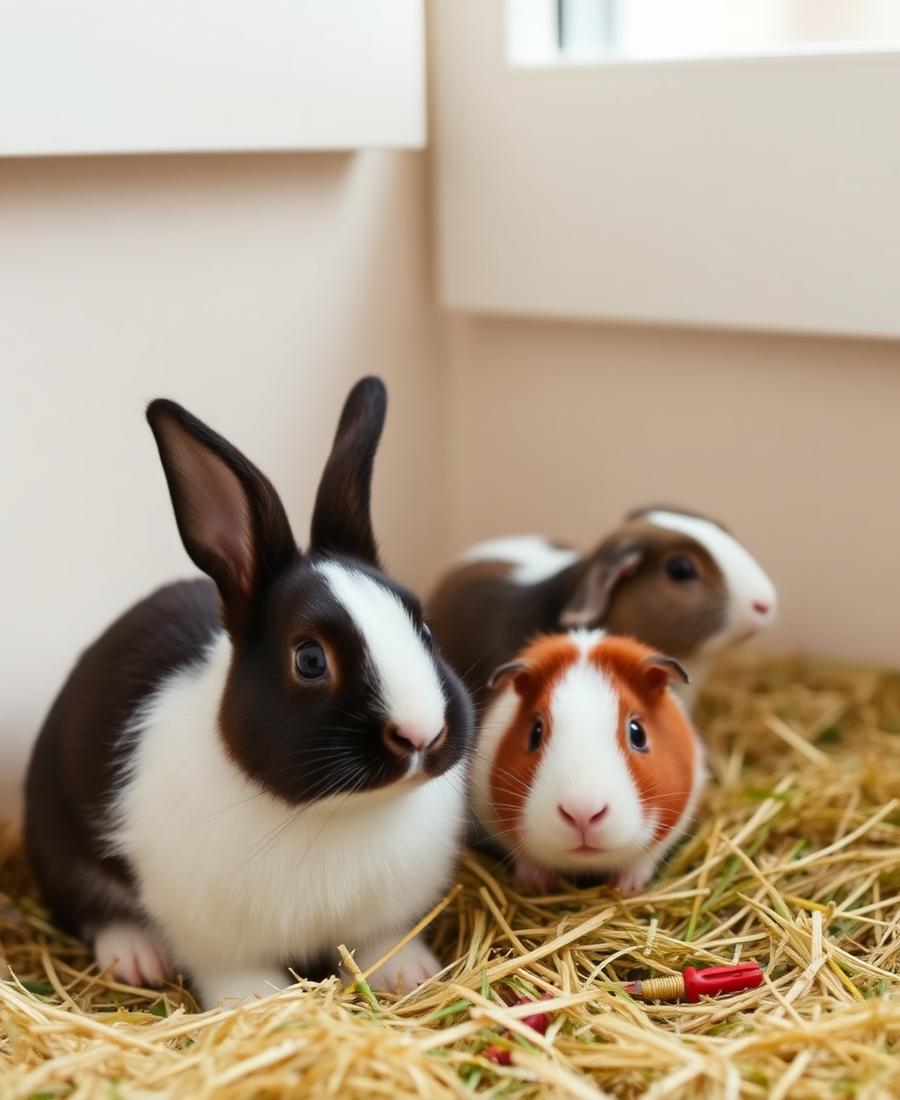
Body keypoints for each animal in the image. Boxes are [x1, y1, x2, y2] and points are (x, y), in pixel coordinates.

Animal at [24, 377, 474, 1008]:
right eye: (309, 659)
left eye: (424, 626)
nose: (421, 734)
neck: (338, 812)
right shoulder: (219, 941)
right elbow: (236, 975)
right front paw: (259, 1004)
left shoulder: (380, 920)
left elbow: (381, 942)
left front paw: (409, 975)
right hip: (57, 835)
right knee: (89, 907)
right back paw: (135, 957)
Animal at [470, 630, 705, 895]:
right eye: (535, 732)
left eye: (637, 733)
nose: (582, 814)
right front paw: (539, 885)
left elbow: (641, 862)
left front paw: (626, 887)